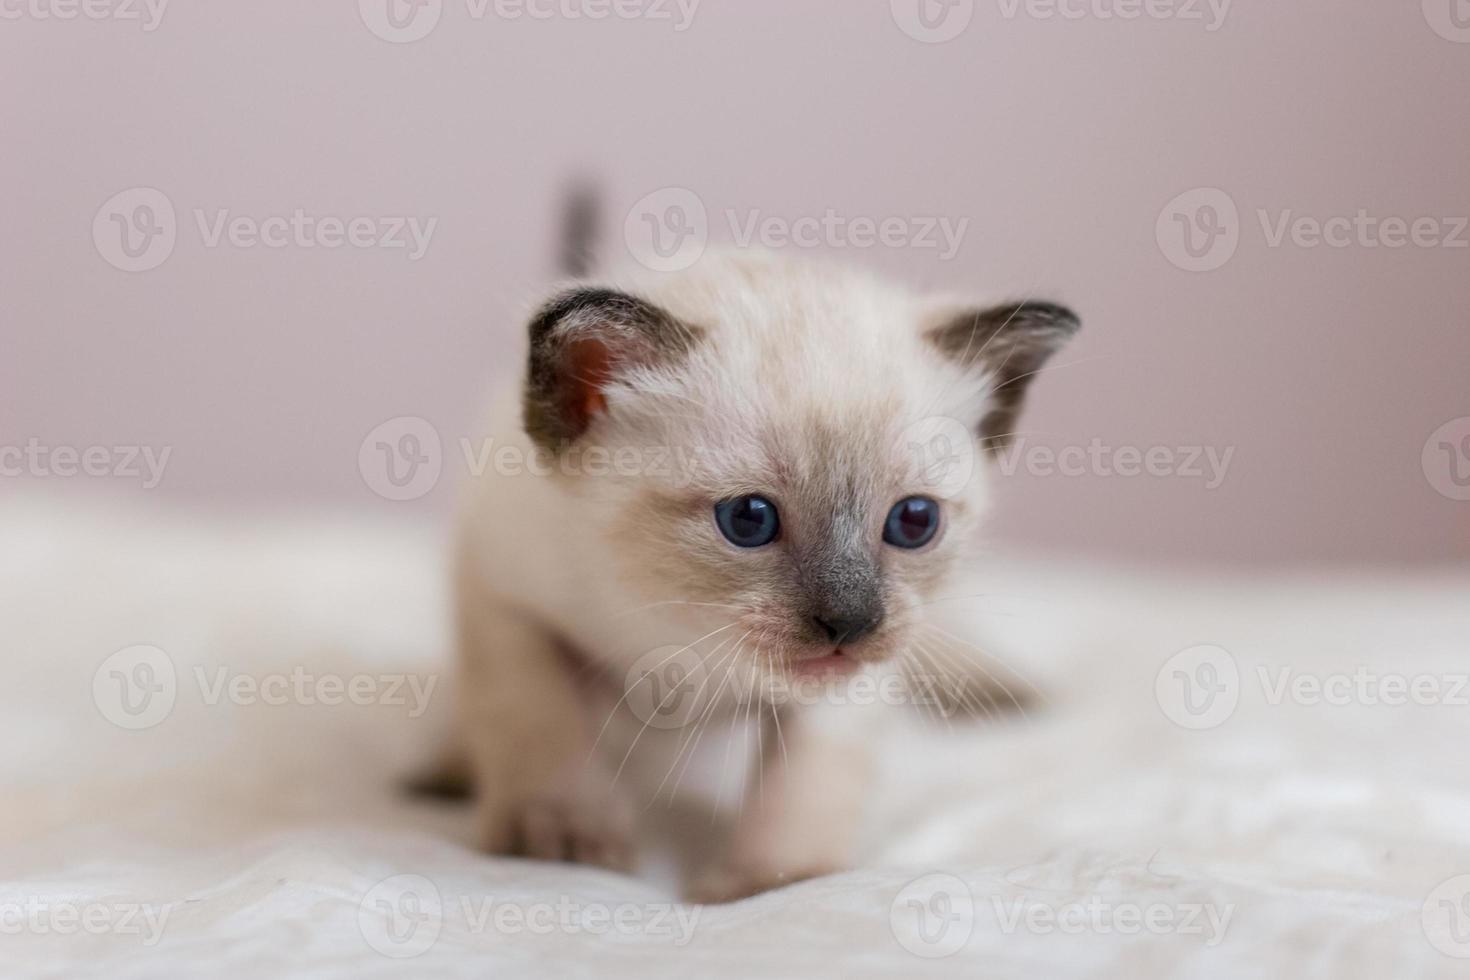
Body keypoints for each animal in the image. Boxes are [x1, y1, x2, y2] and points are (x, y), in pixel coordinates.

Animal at [429, 193, 1076, 905]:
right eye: (748, 520)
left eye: (914, 522)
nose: (850, 623)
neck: (680, 634)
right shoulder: (504, 603)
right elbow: (538, 725)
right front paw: (564, 847)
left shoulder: (849, 685)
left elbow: (805, 791)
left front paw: (764, 887)